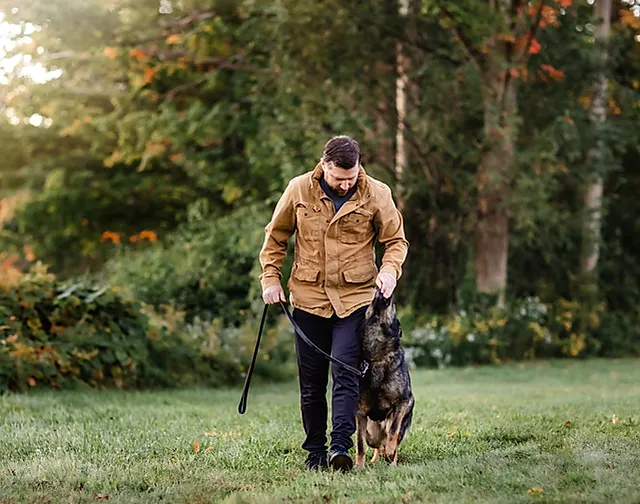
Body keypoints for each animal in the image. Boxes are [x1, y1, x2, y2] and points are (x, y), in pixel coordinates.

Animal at [356, 288, 416, 468]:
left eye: (393, 306)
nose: (380, 288)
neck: (377, 358)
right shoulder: (359, 412)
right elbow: (360, 444)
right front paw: (358, 467)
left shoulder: (403, 402)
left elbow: (393, 432)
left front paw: (391, 456)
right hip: (371, 434)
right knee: (376, 445)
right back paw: (375, 460)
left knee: (390, 440)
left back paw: (392, 462)